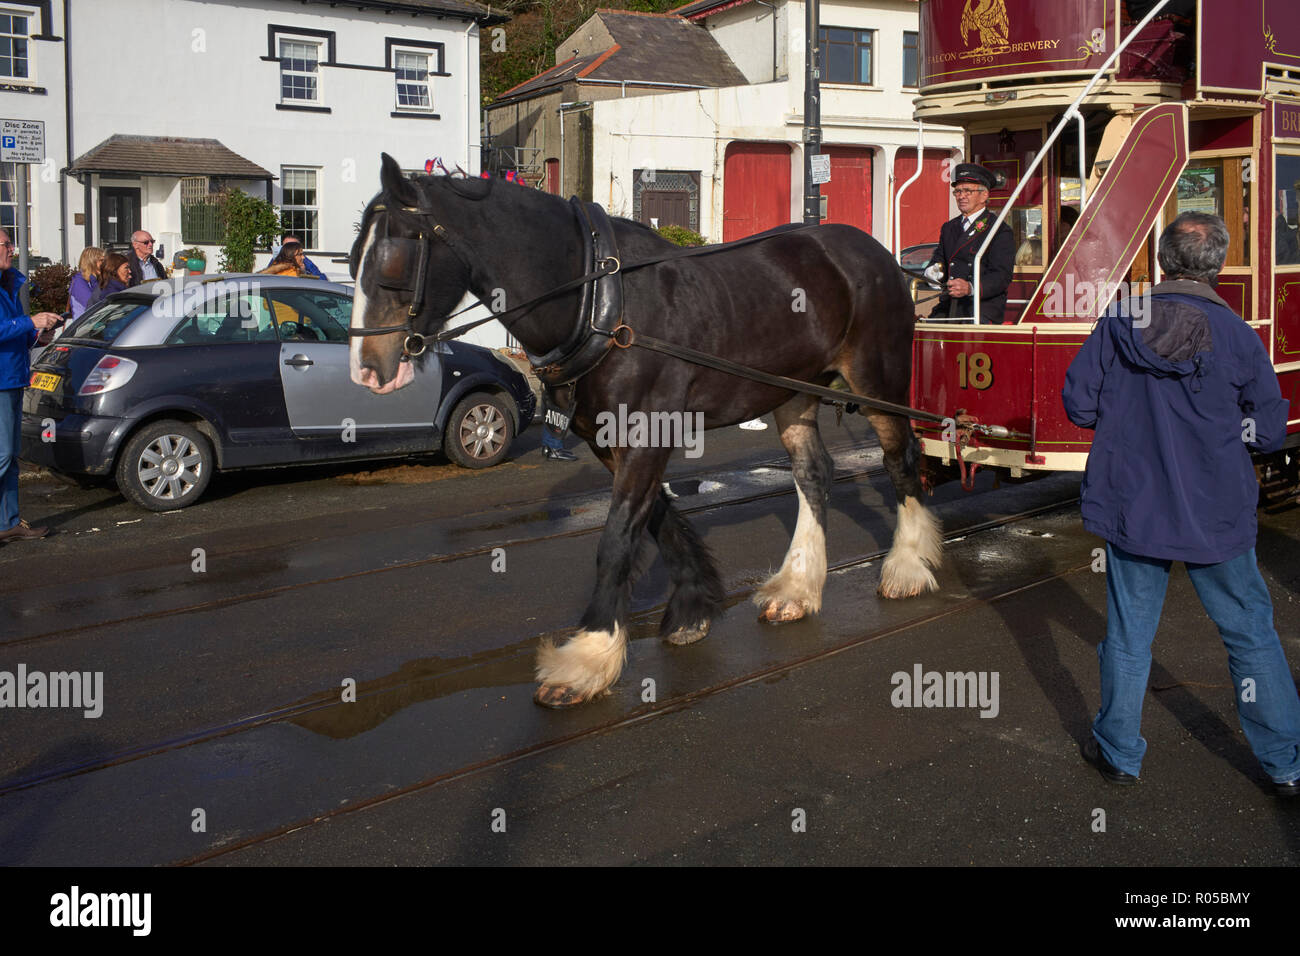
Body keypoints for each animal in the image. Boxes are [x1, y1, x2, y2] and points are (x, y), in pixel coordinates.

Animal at [349, 153, 942, 707]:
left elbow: (616, 537)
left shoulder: (648, 430)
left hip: (877, 381)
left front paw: (587, 656)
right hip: (792, 392)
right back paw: (798, 586)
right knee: (813, 474)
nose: (366, 370)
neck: (599, 301)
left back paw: (907, 566)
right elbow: (654, 517)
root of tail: (876, 251)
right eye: (352, 258)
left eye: (393, 260)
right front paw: (692, 606)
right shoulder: (609, 439)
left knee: (901, 458)